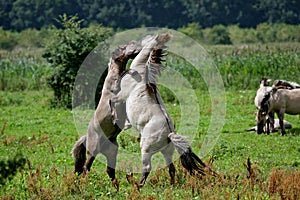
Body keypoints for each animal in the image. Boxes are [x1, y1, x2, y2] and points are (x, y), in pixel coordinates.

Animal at [72, 41, 142, 190]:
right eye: (123, 47)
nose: (137, 47)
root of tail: (86, 137)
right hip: (93, 150)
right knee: (86, 167)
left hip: (112, 152)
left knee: (110, 170)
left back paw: (117, 187)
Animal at [110, 33, 209, 188]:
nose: (133, 47)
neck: (140, 73)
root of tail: (169, 134)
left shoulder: (120, 96)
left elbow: (112, 101)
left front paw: (117, 120)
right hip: (166, 152)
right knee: (171, 168)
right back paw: (172, 185)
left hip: (146, 150)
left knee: (147, 168)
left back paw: (138, 185)